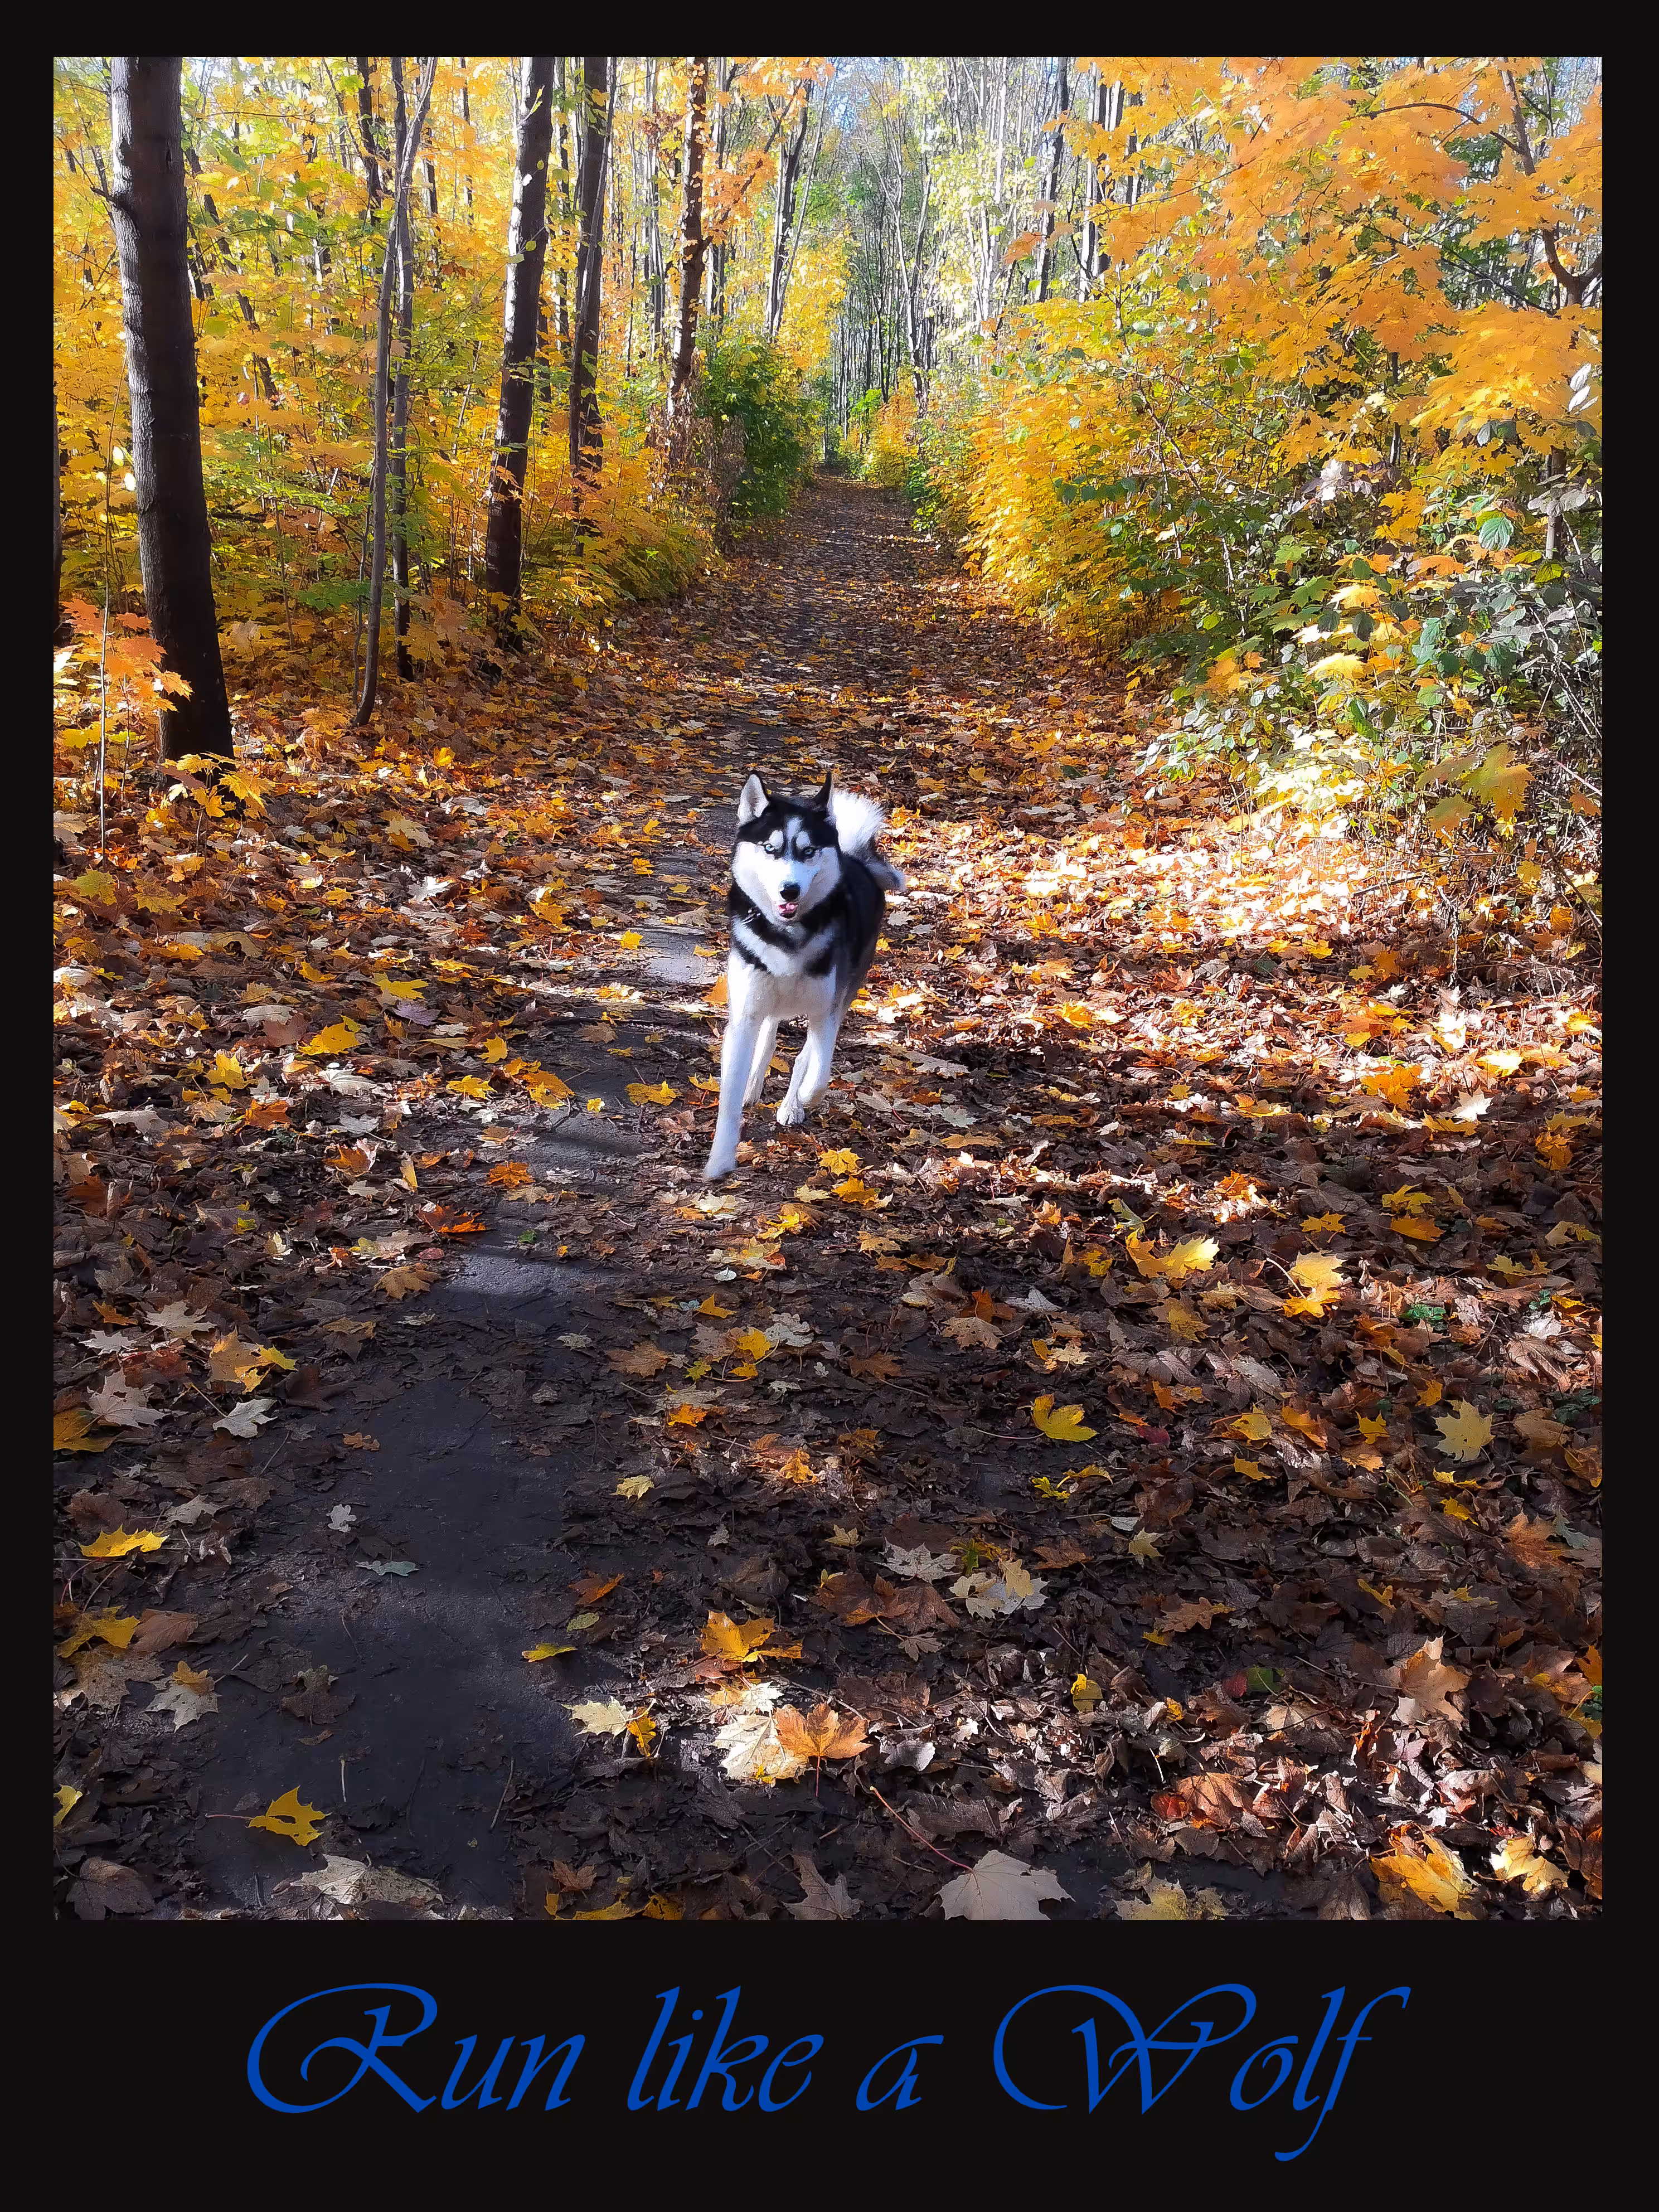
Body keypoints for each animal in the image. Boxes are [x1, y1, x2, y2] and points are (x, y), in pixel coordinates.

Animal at [702, 769, 904, 1180]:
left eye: (809, 851)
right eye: (770, 848)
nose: (789, 890)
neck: (787, 933)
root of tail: (856, 859)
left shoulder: (825, 1011)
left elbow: (817, 1073)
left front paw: (802, 1100)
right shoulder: (744, 1014)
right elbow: (729, 1095)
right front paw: (720, 1159)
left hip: (841, 993)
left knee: (806, 1055)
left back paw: (792, 1102)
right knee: (769, 1033)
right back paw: (755, 1084)